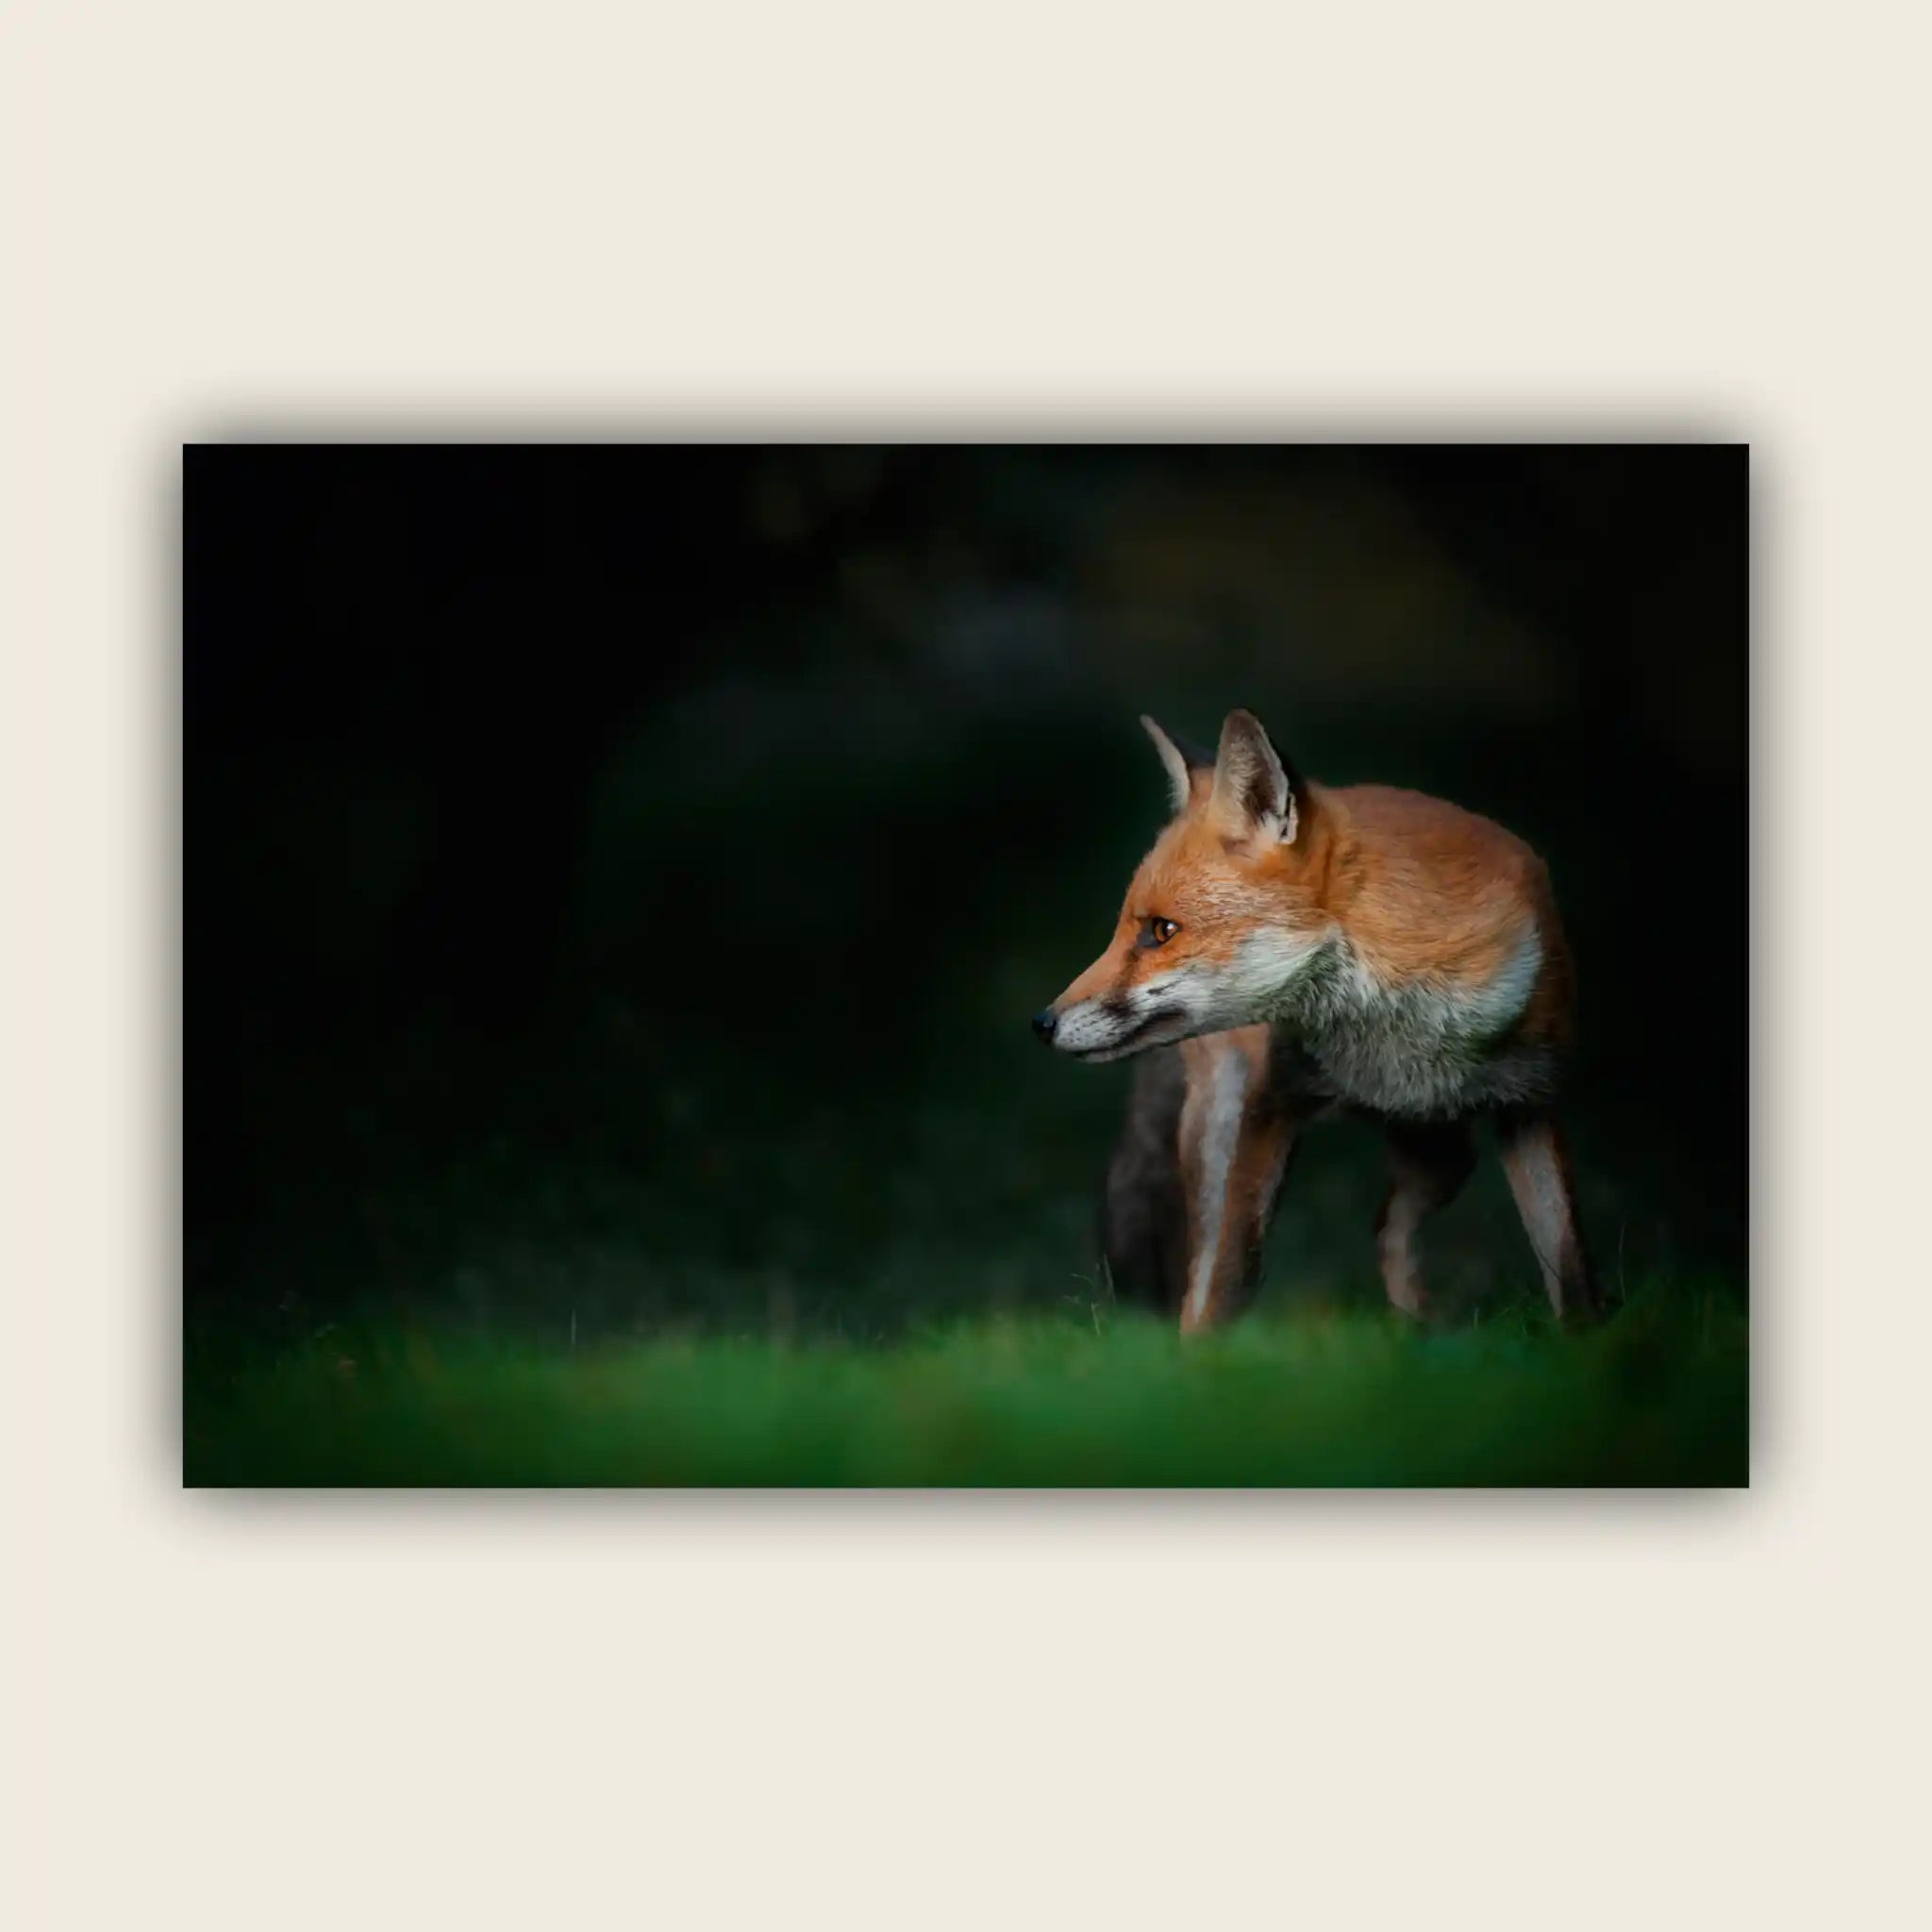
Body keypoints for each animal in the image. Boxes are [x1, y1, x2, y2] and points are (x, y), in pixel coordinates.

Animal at [1033, 709, 1599, 1332]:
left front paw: (1587, 1342)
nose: (1044, 1022)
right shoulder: (1270, 1104)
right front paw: (1210, 1354)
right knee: (1205, 1270)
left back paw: (1419, 1329)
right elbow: (1229, 1273)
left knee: (1386, 1228)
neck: (1394, 1026)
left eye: (1161, 931)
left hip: (1442, 1152)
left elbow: (1569, 1265)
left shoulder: (1532, 1102)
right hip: (1222, 1121)